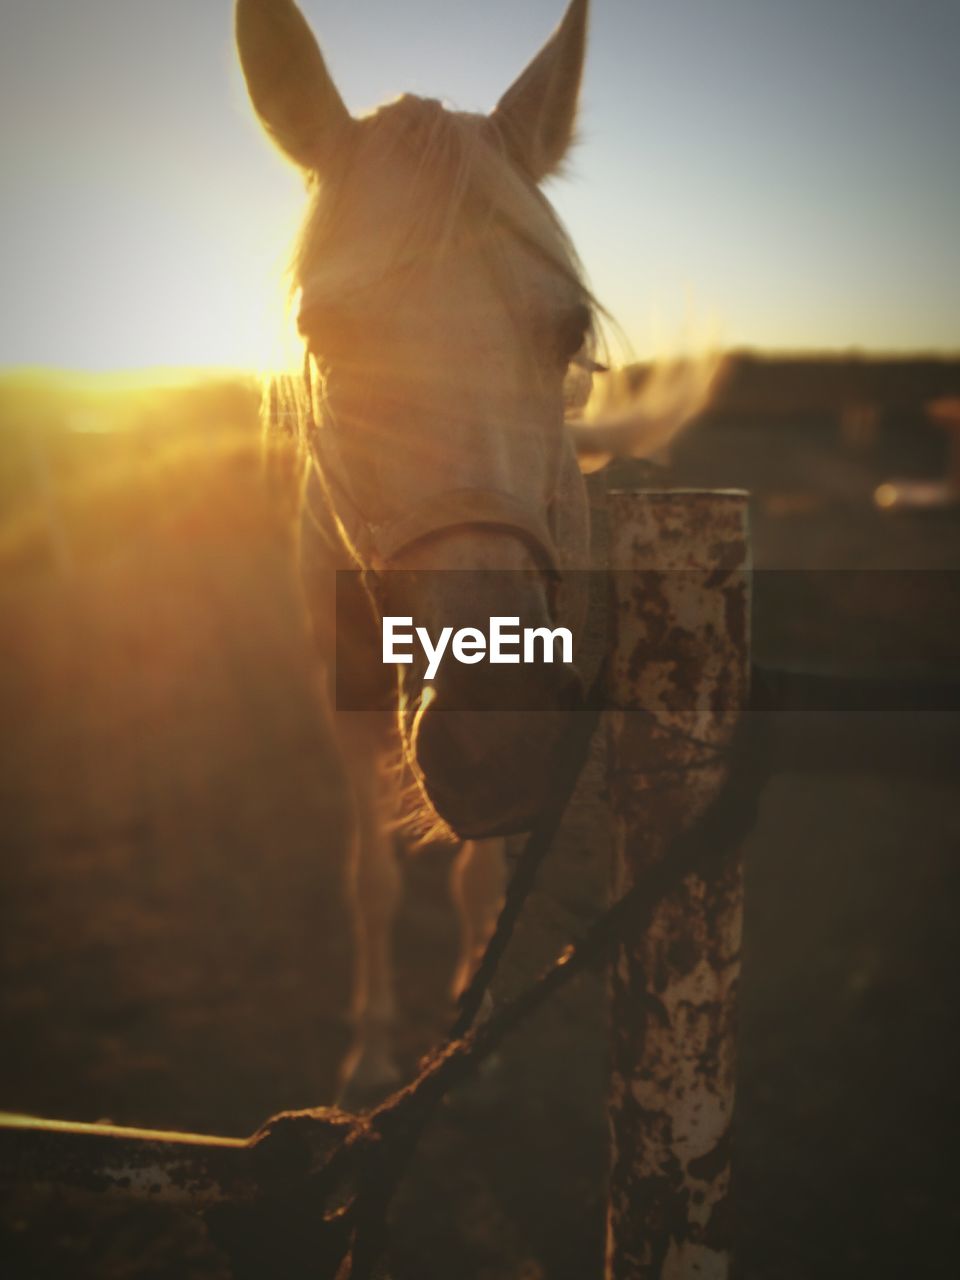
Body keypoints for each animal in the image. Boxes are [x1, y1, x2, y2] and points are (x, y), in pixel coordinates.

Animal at [232, 0, 716, 1105]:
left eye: (571, 331)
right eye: (321, 331)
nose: (503, 738)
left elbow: (481, 877)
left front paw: (469, 1035)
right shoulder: (347, 708)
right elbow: (371, 878)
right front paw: (372, 1048)